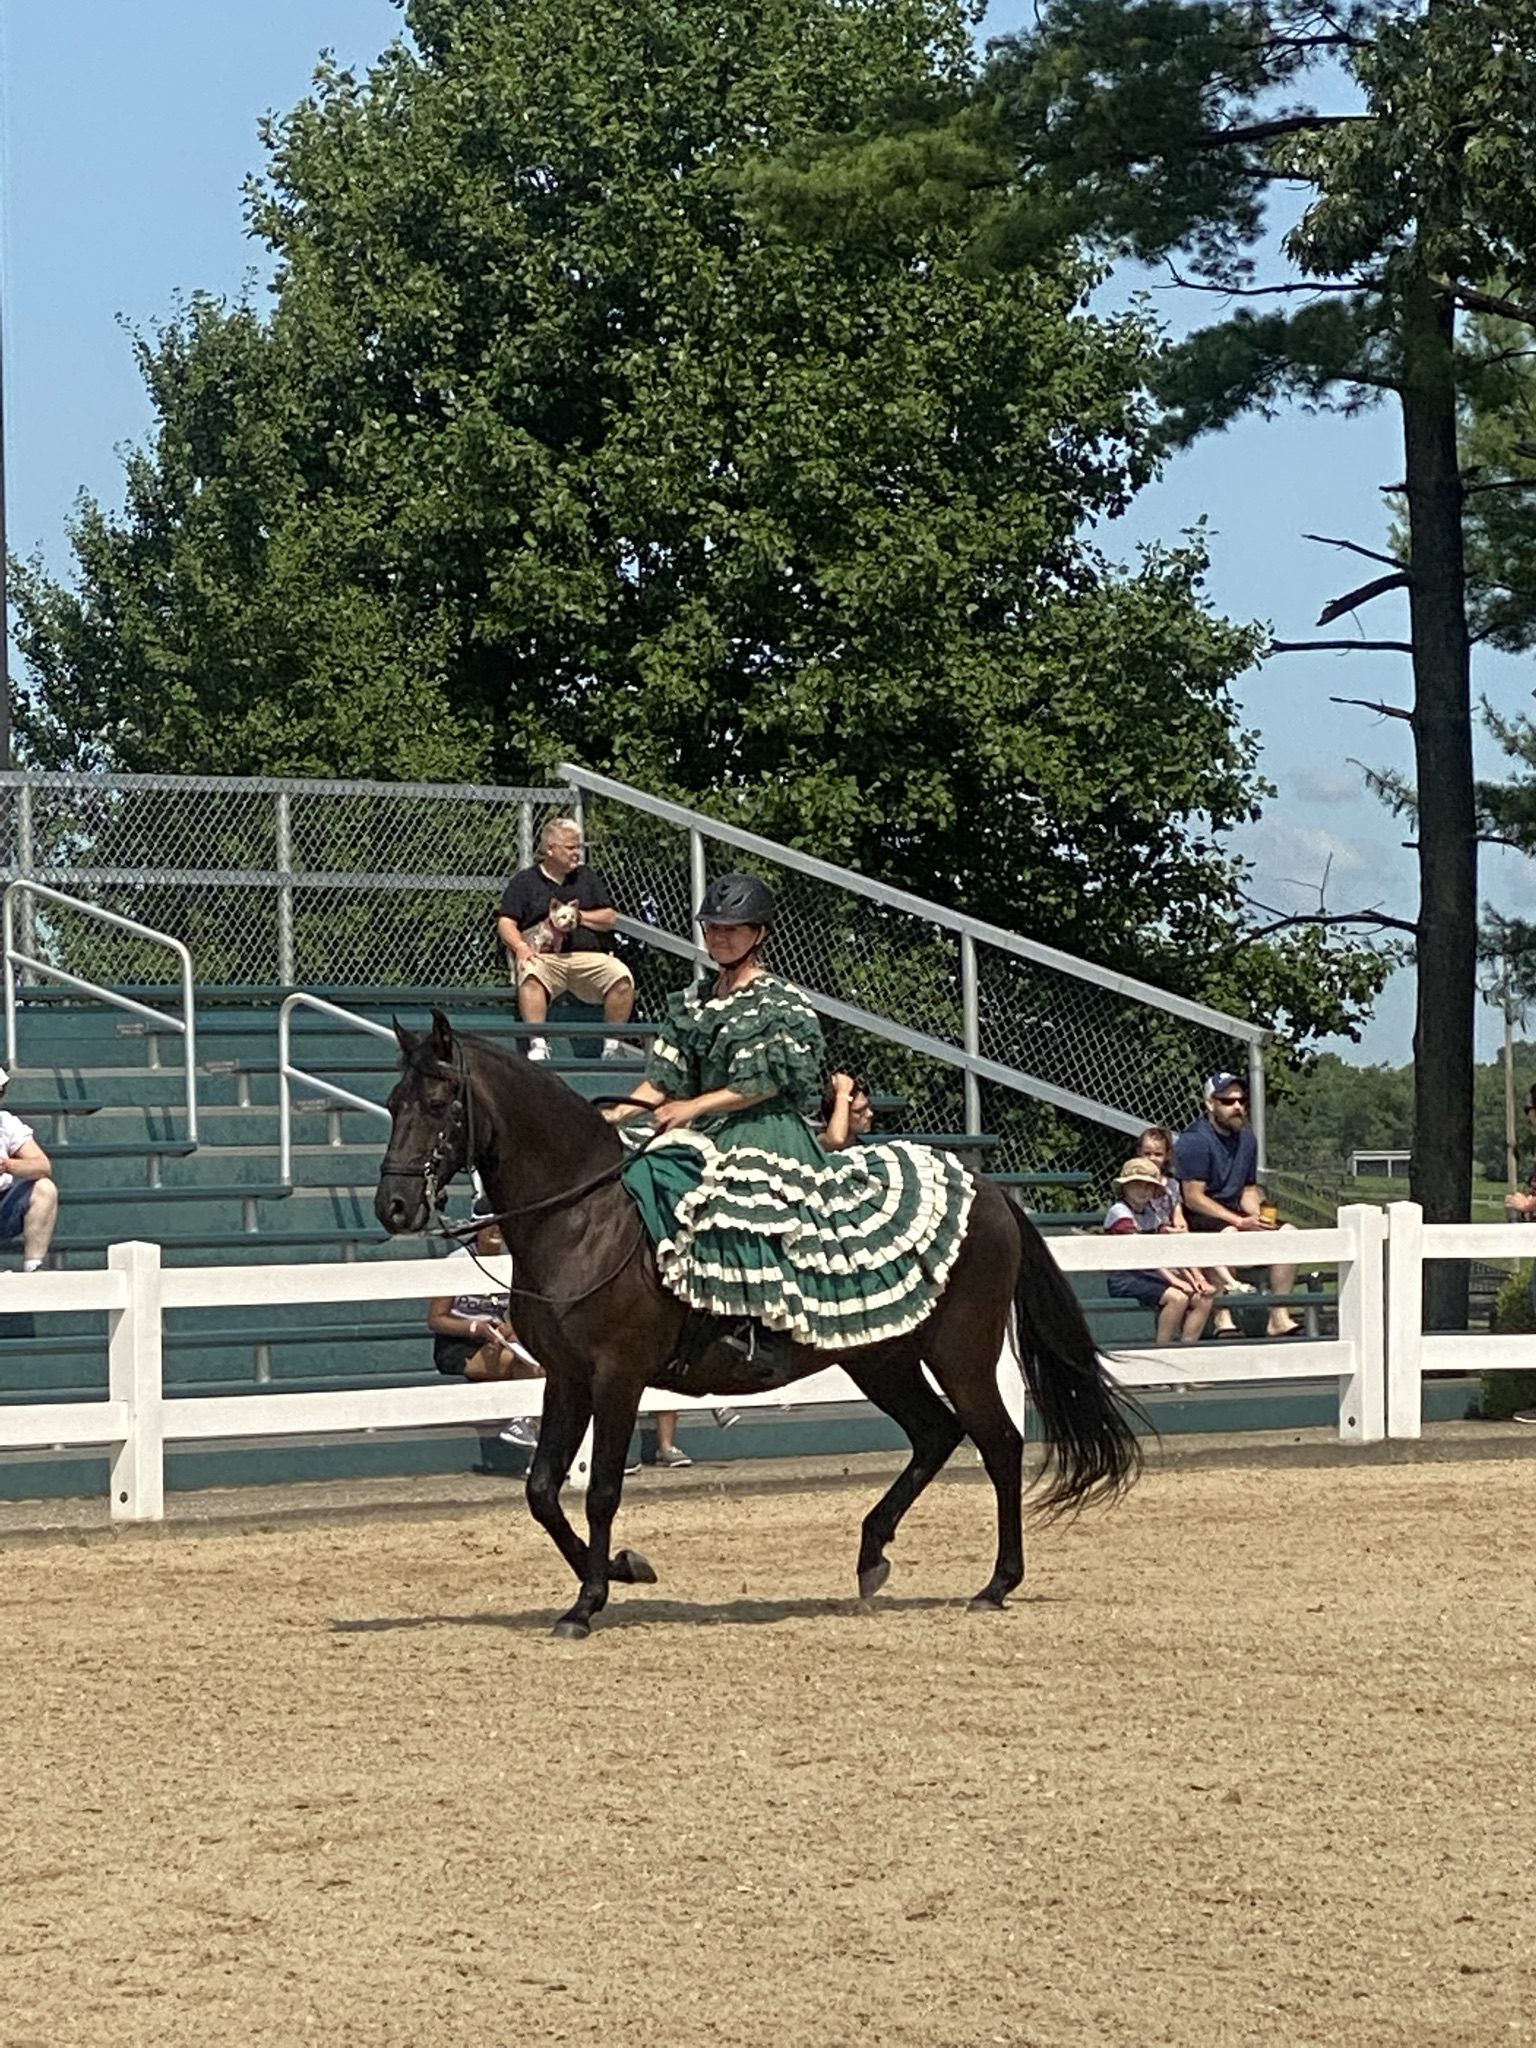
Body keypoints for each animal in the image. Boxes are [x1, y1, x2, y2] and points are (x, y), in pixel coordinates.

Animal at [372, 1015, 1146, 1638]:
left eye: (438, 1104)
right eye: (392, 1104)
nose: (394, 1208)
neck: (584, 1215)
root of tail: (988, 1191)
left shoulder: (617, 1378)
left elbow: (600, 1492)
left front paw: (587, 1604)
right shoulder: (564, 1377)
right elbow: (540, 1490)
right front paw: (621, 1569)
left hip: (961, 1353)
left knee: (1000, 1446)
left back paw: (995, 1584)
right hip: (879, 1357)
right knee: (936, 1435)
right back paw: (873, 1557)